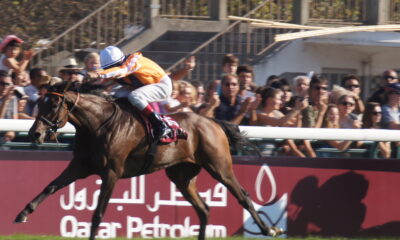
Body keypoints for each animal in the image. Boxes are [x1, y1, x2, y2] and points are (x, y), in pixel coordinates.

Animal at [14, 82, 282, 238]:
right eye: (40, 102)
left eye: (53, 104)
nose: (34, 134)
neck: (98, 125)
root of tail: (213, 121)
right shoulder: (80, 166)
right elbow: (50, 186)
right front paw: (23, 214)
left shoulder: (111, 172)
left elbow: (98, 213)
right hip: (182, 176)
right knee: (203, 209)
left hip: (219, 166)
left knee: (243, 196)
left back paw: (268, 228)